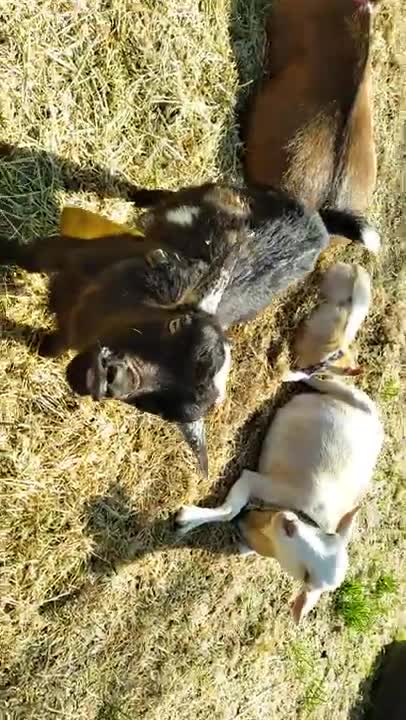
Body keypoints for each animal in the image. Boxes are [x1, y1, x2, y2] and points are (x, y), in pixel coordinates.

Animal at [0, 183, 379, 474]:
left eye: (158, 409)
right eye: (176, 323)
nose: (110, 378)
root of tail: (320, 226)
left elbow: (54, 346)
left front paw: (39, 344)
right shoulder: (71, 253)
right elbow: (25, 256)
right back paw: (141, 197)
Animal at [176, 376, 384, 622]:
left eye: (307, 576)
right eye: (328, 535)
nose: (289, 523)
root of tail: (377, 426)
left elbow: (235, 517)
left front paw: (186, 520)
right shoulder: (259, 481)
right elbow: (231, 509)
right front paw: (187, 519)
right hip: (353, 396)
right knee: (323, 380)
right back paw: (298, 374)